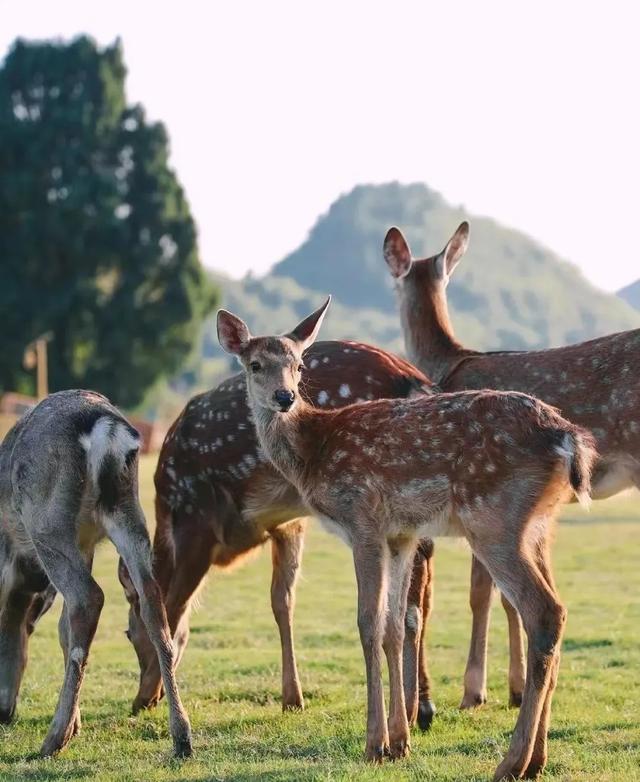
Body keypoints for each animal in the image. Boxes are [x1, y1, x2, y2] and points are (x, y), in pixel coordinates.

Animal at [0, 392, 190, 760]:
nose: (4, 713)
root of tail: (109, 430)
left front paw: (71, 727)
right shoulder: (85, 544)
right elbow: (62, 629)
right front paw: (77, 724)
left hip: (47, 522)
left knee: (89, 597)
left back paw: (53, 739)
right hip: (128, 513)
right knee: (151, 601)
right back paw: (182, 737)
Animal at [119, 340, 440, 732]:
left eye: (129, 633)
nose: (138, 702)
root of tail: (410, 379)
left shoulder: (198, 519)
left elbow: (174, 608)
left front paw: (155, 690)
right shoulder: (287, 524)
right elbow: (281, 601)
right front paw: (292, 697)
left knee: (411, 599)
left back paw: (410, 711)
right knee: (422, 588)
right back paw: (422, 707)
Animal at [218, 298, 596, 780]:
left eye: (299, 365)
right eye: (255, 365)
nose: (284, 397)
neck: (312, 452)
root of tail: (568, 437)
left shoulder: (362, 519)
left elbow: (367, 623)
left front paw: (373, 744)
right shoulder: (401, 533)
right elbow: (395, 626)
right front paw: (400, 741)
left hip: (493, 518)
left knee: (545, 611)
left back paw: (511, 762)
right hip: (538, 524)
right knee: (554, 616)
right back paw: (537, 760)